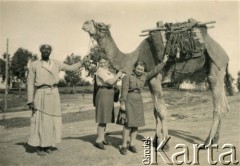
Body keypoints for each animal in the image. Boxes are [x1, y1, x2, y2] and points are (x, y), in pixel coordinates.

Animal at [82, 19, 231, 147]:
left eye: (100, 25)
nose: (85, 23)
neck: (133, 59)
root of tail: (225, 55)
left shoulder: (155, 78)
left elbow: (162, 110)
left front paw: (165, 143)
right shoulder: (149, 80)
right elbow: (156, 111)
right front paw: (156, 139)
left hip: (216, 66)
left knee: (217, 105)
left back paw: (207, 142)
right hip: (214, 69)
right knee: (223, 104)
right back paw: (216, 139)